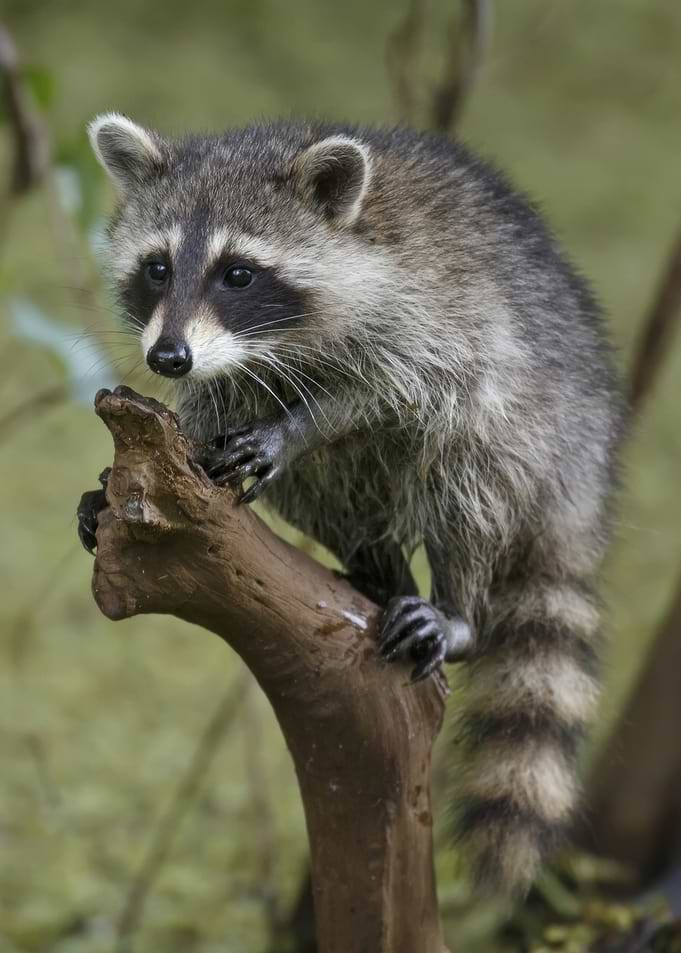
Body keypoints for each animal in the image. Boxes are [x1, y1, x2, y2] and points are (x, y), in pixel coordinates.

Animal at [77, 113, 626, 893]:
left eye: (237, 273)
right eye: (157, 267)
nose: (167, 357)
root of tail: (587, 471)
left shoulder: (431, 313)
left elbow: (401, 392)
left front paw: (297, 426)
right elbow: (214, 408)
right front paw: (128, 476)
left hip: (536, 433)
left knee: (464, 471)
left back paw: (456, 606)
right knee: (322, 492)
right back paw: (377, 568)